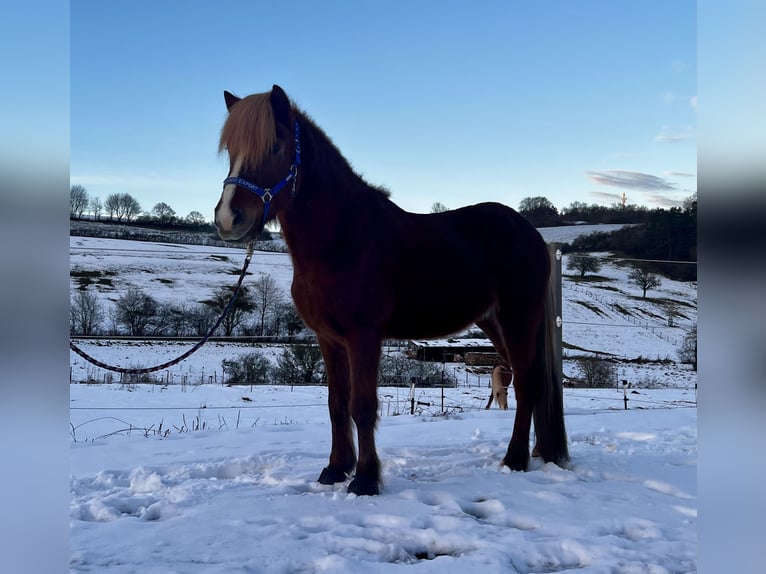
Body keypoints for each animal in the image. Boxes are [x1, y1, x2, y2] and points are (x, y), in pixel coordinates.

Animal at [213, 84, 568, 496]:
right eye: (231, 151)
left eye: (274, 147)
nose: (228, 219)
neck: (343, 239)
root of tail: (531, 233)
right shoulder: (329, 340)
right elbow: (337, 405)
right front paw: (336, 469)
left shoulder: (363, 336)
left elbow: (363, 406)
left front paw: (365, 479)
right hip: (494, 323)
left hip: (518, 319)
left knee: (527, 383)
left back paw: (514, 460)